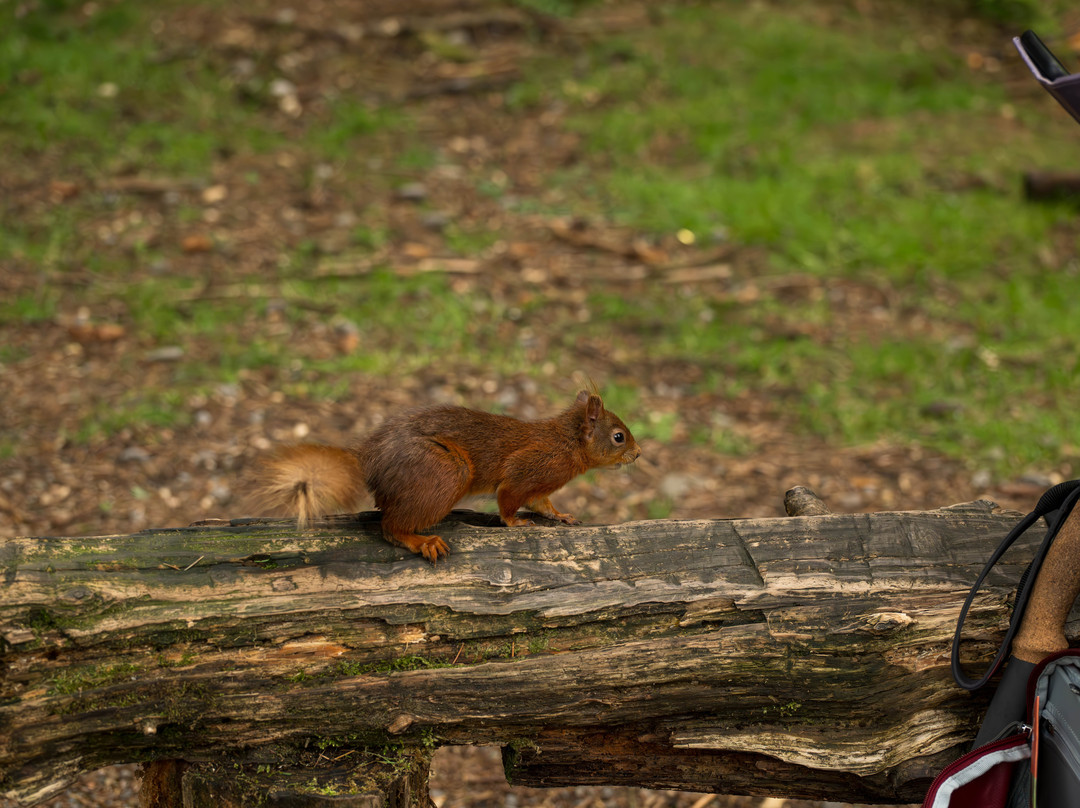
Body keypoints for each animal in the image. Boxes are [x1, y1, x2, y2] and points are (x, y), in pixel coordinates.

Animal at [253, 390, 641, 563]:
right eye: (619, 437)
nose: (638, 454)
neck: (567, 443)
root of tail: (369, 458)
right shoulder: (526, 469)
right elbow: (508, 500)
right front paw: (515, 523)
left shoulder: (539, 485)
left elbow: (542, 503)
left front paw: (562, 515)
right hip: (448, 472)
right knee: (390, 527)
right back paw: (422, 541)